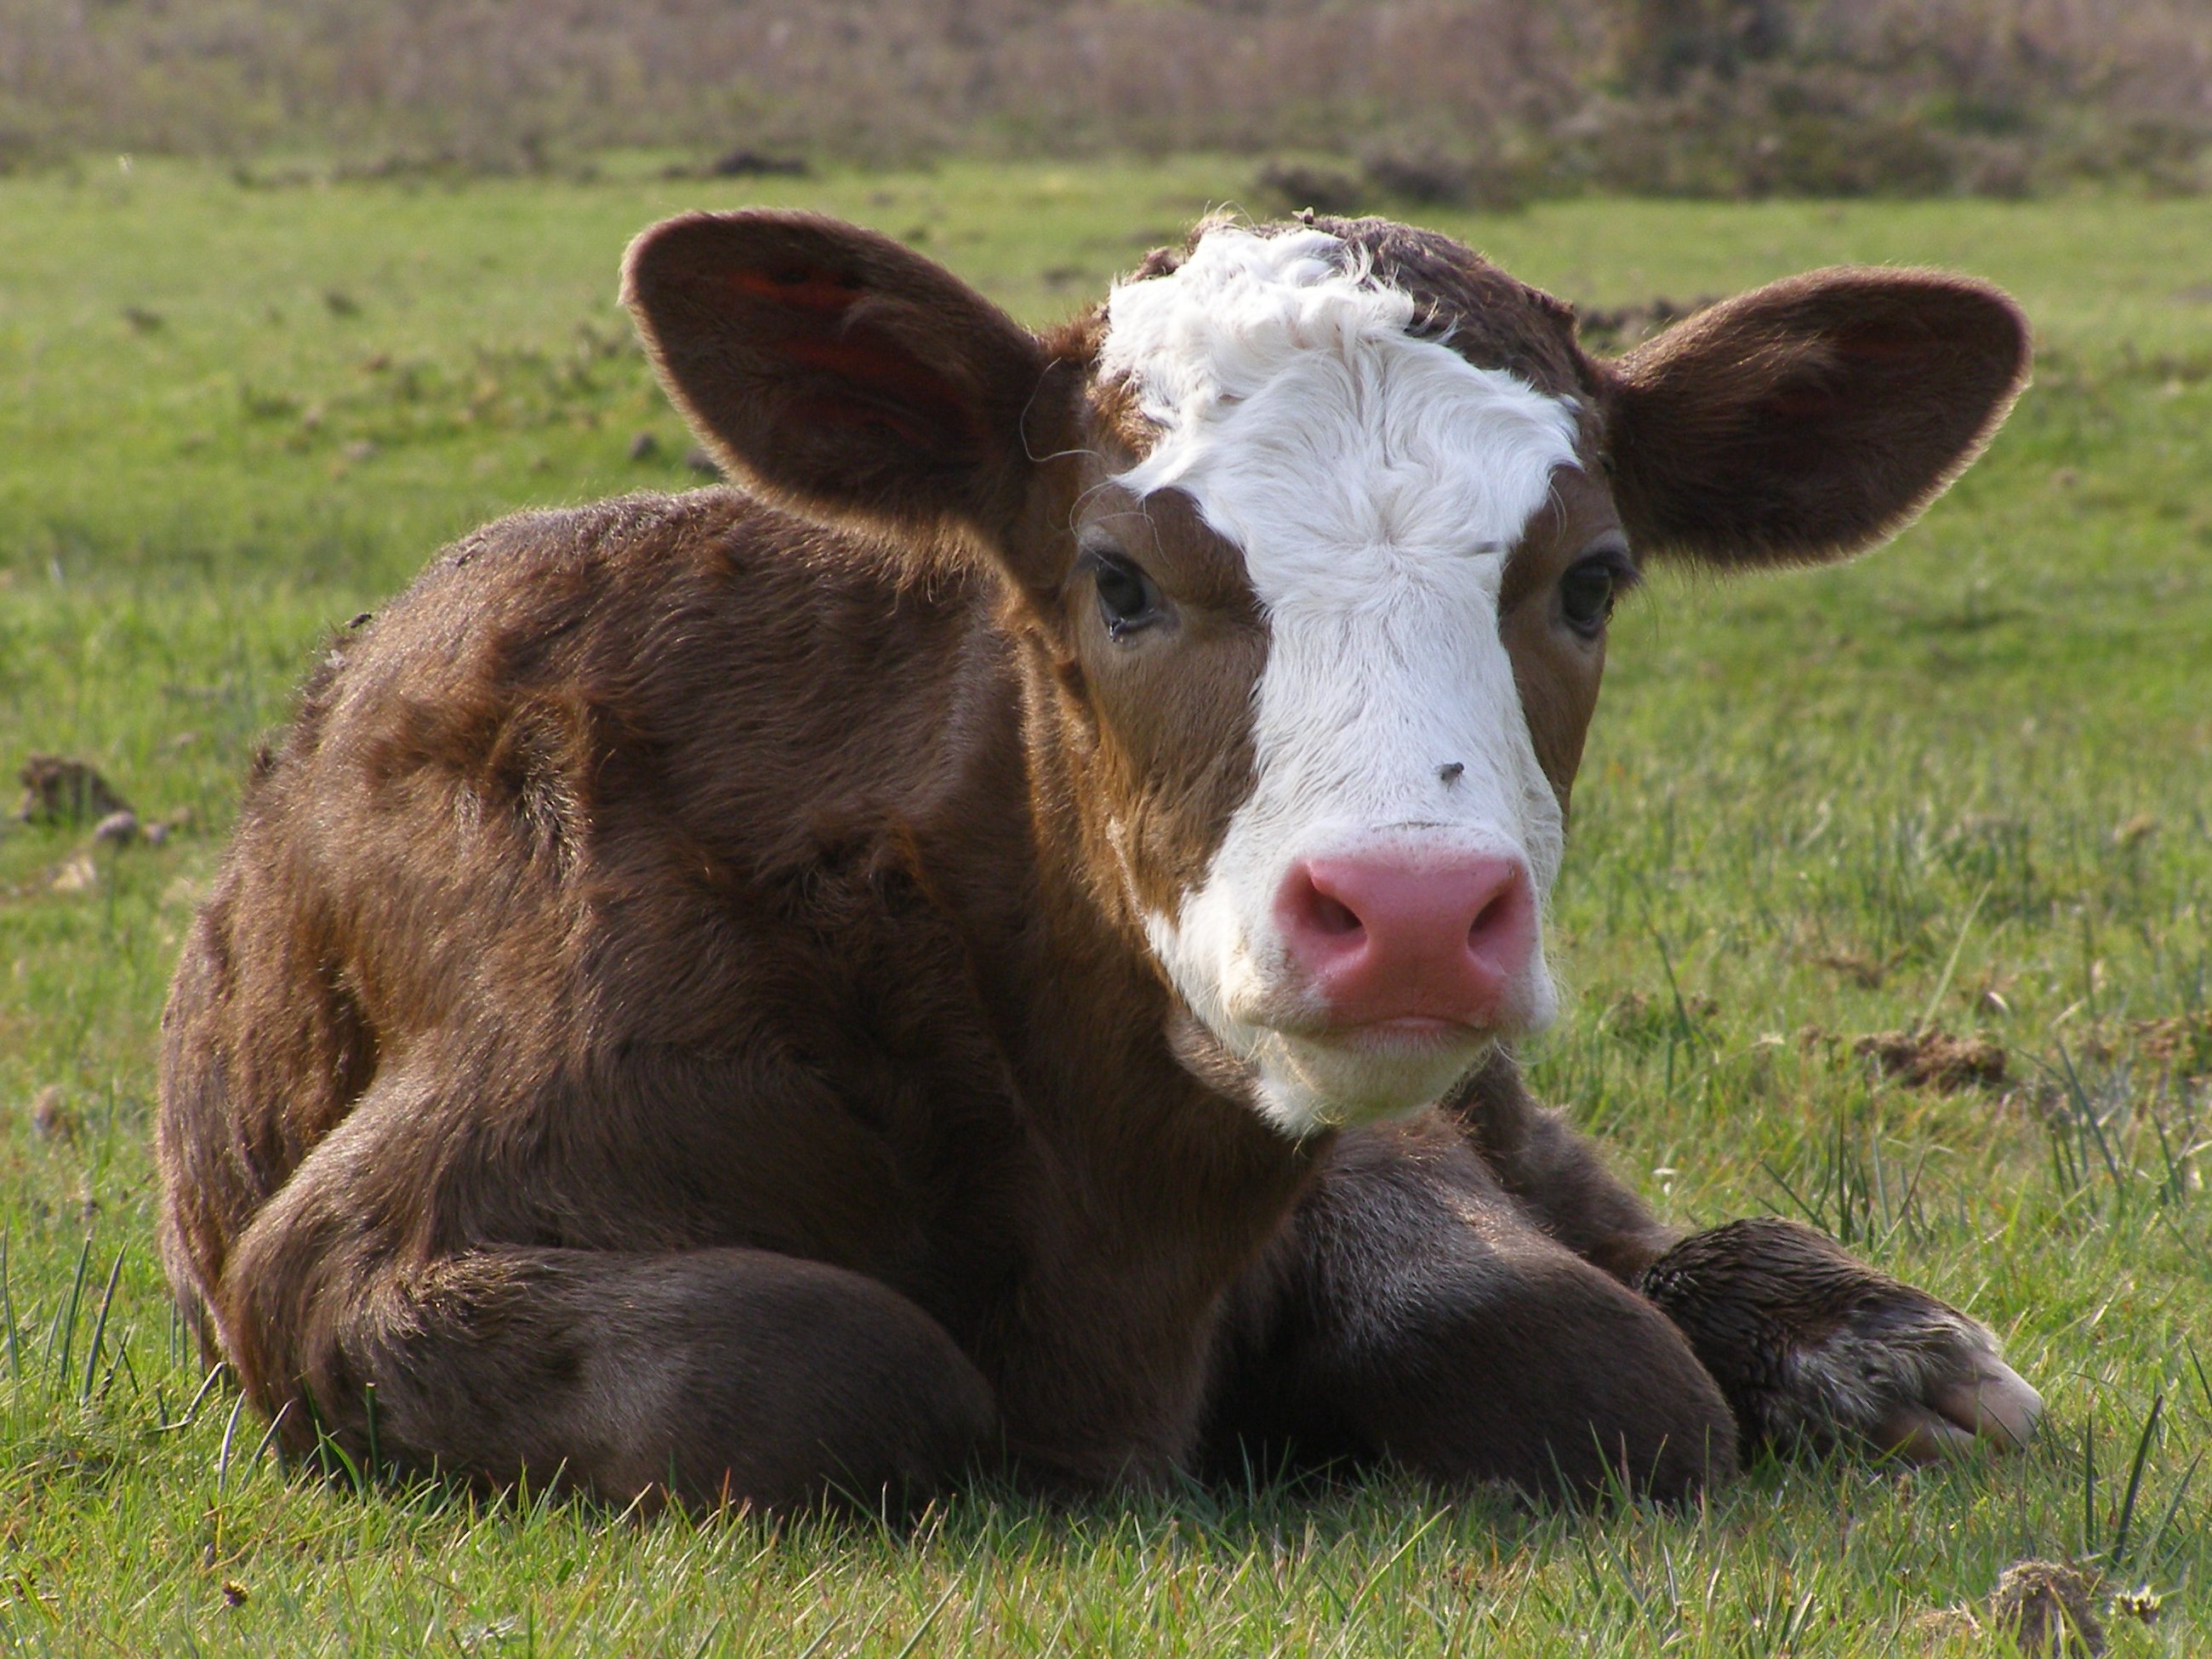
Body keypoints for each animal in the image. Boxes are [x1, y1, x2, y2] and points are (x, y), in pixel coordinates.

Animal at [163, 211, 2044, 1521]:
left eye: (1590, 578)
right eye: (1118, 580)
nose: (1414, 919)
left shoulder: (1361, 1132)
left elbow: (1575, 1352)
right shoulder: (352, 1257)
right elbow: (827, 1365)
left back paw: (1881, 1347)